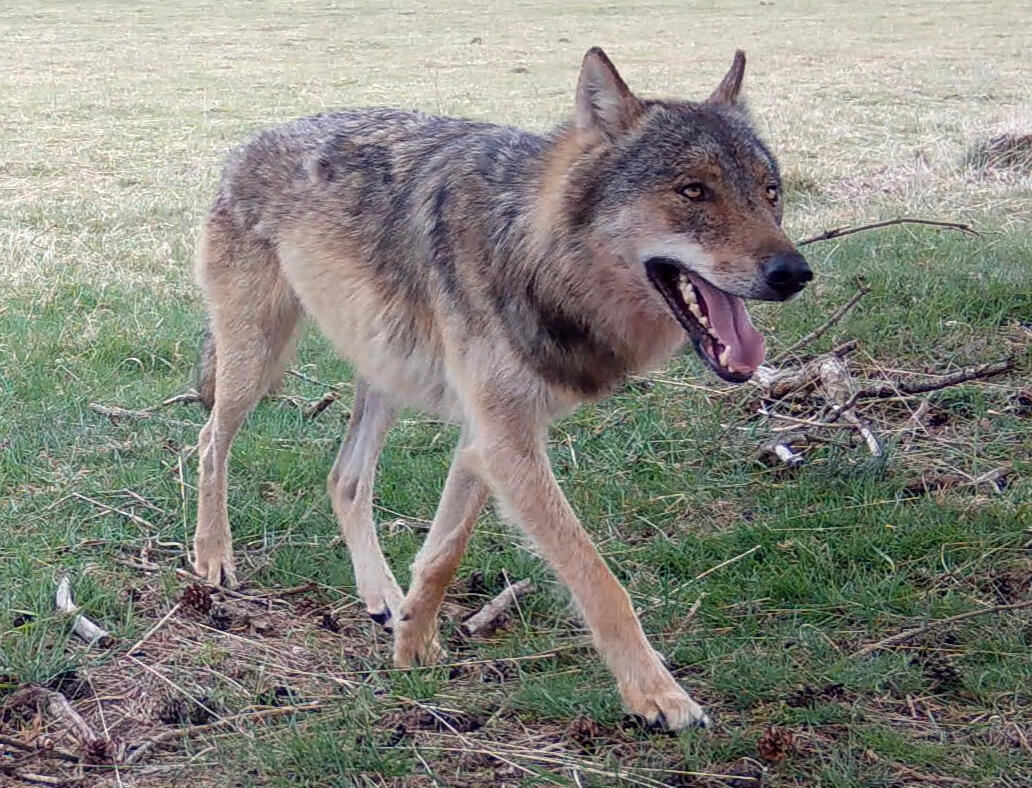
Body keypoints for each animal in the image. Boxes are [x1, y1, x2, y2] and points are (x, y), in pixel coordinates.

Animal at [191, 47, 804, 726]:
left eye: (769, 192)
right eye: (694, 190)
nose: (794, 272)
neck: (534, 253)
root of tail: (246, 145)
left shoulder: (489, 437)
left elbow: (443, 553)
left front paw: (413, 645)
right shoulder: (506, 442)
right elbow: (598, 580)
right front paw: (658, 694)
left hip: (385, 370)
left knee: (344, 480)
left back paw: (381, 595)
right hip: (258, 364)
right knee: (209, 442)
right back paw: (213, 558)